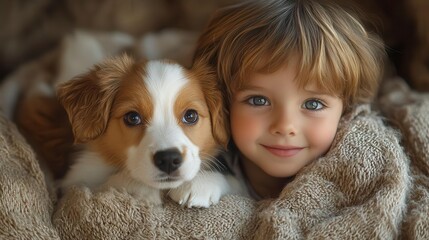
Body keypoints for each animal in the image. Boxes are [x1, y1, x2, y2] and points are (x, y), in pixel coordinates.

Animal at [55, 54, 239, 206]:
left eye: (191, 115)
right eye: (132, 117)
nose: (168, 159)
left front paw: (201, 183)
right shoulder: (75, 181)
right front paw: (142, 190)